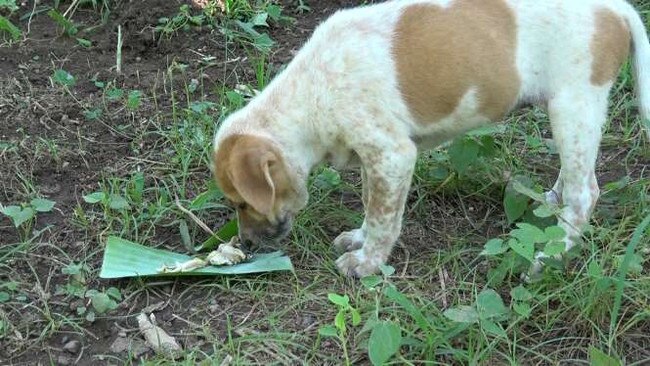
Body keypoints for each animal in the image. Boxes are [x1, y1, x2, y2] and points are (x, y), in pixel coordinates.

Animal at [213, 0, 648, 278]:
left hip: (574, 106)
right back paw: (551, 204)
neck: (311, 92)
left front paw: (367, 263)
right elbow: (373, 206)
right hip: (568, 117)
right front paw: (359, 240)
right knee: (573, 177)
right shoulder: (375, 160)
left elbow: (384, 218)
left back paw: (551, 256)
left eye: (242, 203)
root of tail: (616, 8)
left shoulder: (392, 155)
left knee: (584, 193)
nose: (246, 244)